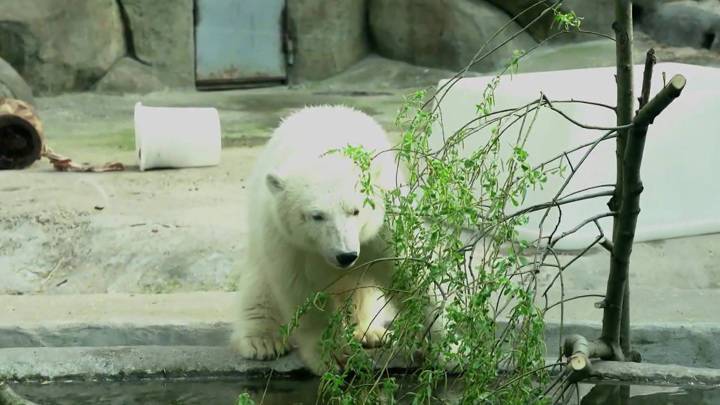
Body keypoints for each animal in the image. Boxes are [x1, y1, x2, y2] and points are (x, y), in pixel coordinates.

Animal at [231, 105, 402, 376]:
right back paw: (263, 341)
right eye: (316, 216)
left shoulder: (384, 226)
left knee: (362, 288)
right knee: (260, 287)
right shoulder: (288, 243)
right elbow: (303, 295)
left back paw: (369, 331)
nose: (346, 255)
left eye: (356, 211)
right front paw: (333, 356)